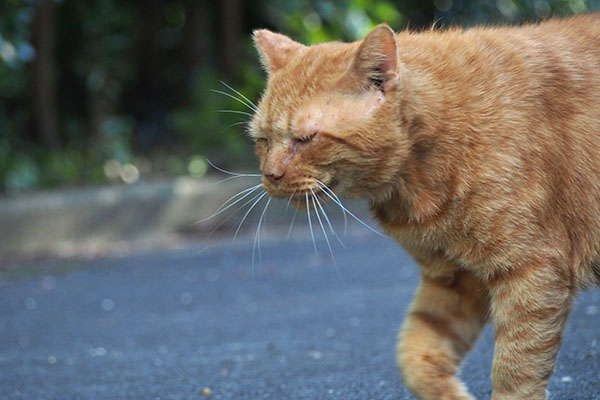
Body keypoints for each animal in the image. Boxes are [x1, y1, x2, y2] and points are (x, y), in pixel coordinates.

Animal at [250, 14, 600, 400]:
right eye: (262, 140)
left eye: (306, 139)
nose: (271, 175)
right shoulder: (455, 277)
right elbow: (415, 354)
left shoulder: (533, 272)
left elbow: (515, 370)